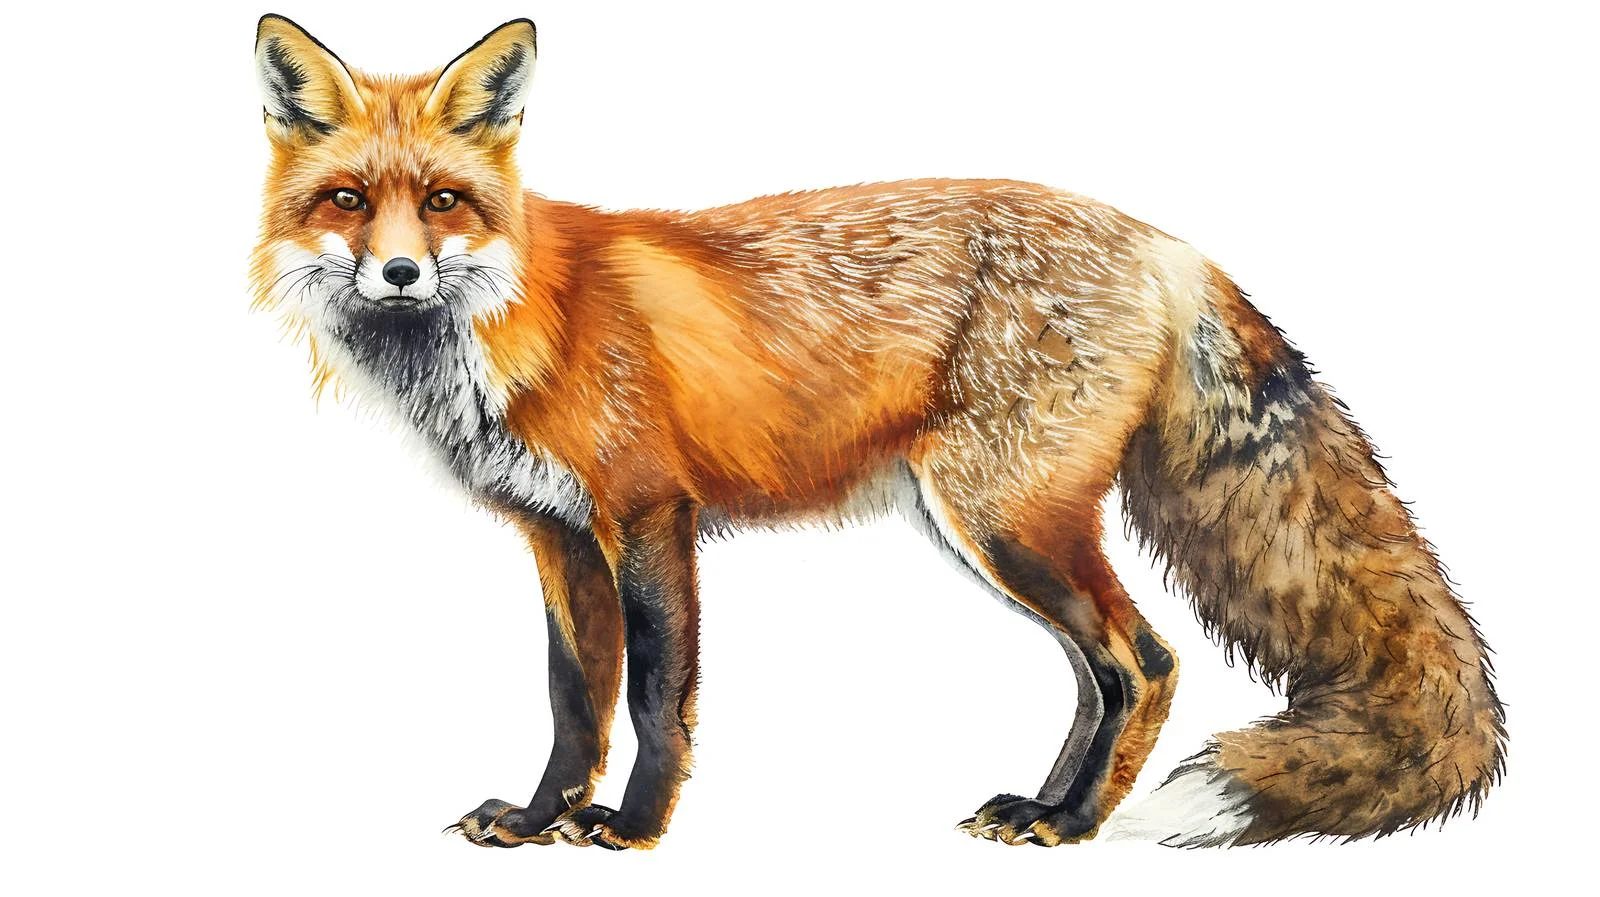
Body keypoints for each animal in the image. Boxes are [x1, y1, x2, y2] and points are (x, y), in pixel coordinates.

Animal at [250, 15, 1506, 849]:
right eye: (349, 202)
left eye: (443, 201)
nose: (399, 272)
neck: (521, 320)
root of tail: (1162, 241)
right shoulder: (556, 536)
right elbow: (573, 696)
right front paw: (538, 815)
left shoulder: (651, 514)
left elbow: (655, 697)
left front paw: (632, 827)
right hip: (992, 533)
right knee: (1098, 674)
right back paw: (1043, 805)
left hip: (1005, 521)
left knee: (1144, 662)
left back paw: (1076, 826)